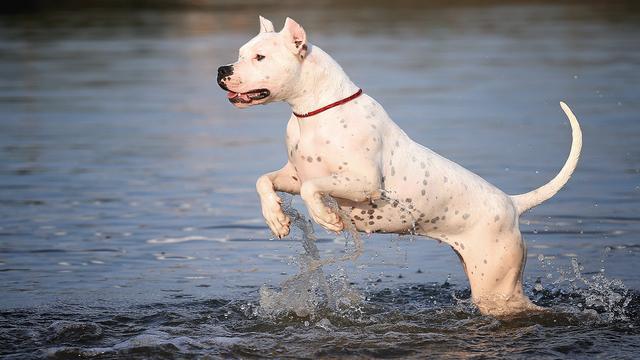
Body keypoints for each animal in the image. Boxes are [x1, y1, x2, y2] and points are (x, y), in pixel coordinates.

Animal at [215, 16, 580, 316]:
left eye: (260, 57)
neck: (316, 111)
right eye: (241, 53)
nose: (222, 70)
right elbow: (264, 180)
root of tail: (513, 204)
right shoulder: (293, 174)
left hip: (497, 289)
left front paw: (326, 218)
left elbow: (311, 189)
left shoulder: (363, 183)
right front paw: (276, 218)